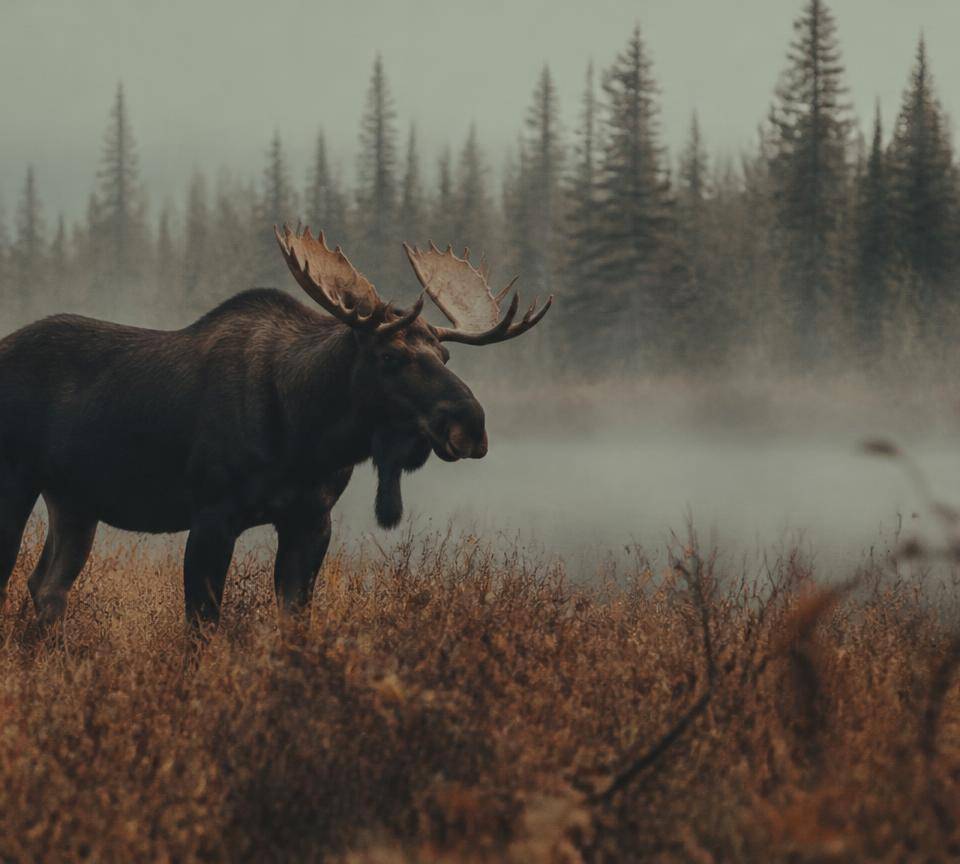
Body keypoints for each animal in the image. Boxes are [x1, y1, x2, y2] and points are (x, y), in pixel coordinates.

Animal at [0, 227, 551, 628]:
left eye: (445, 355)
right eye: (390, 356)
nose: (471, 425)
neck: (307, 434)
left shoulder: (311, 520)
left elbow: (292, 623)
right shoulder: (212, 515)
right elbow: (202, 626)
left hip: (73, 500)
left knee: (46, 587)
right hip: (18, 484)